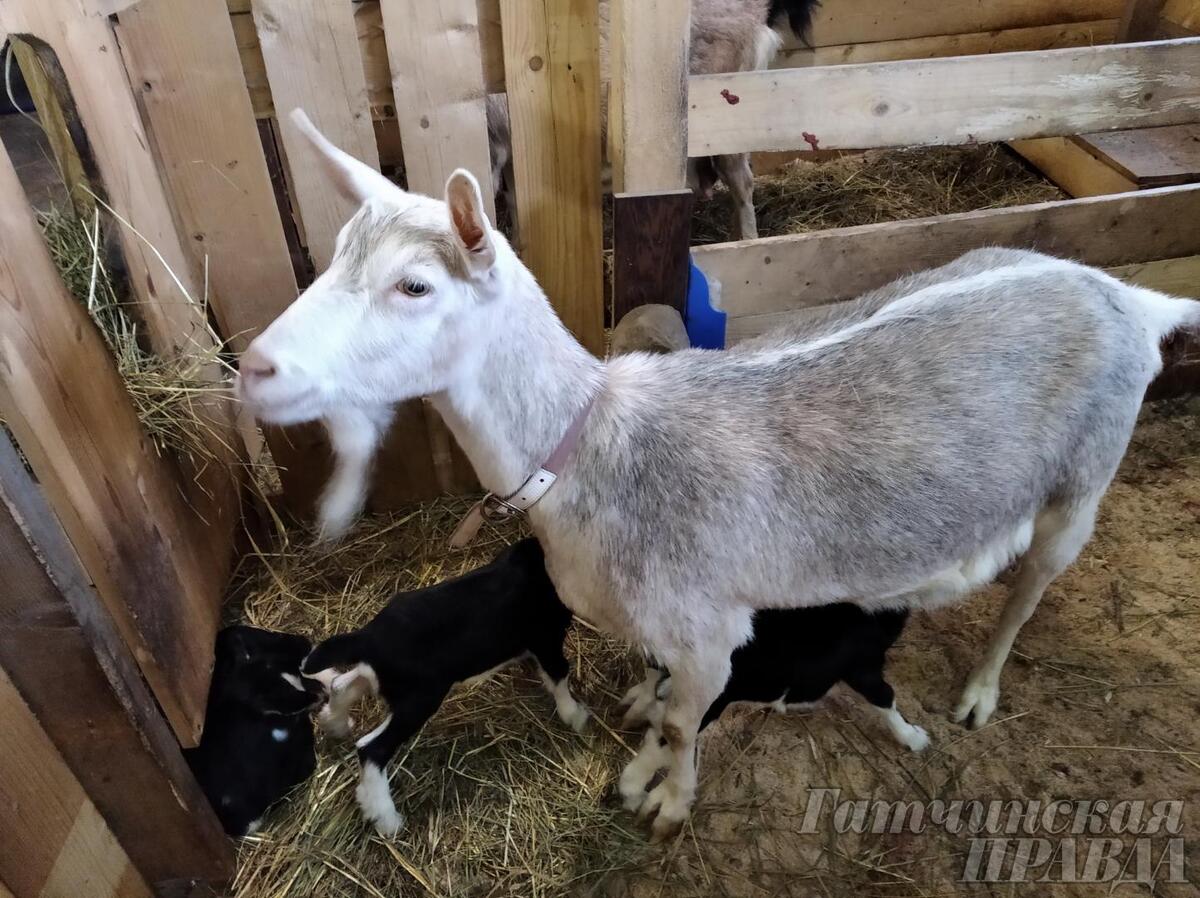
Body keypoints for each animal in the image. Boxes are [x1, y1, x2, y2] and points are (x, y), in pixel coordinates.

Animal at [238, 114, 1195, 840]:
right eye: (334, 255)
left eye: (415, 286)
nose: (253, 368)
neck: (593, 450)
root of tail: (1132, 298)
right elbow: (657, 691)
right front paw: (638, 721)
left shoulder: (711, 630)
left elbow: (683, 719)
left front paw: (666, 799)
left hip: (1086, 473)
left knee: (1031, 586)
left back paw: (979, 692)